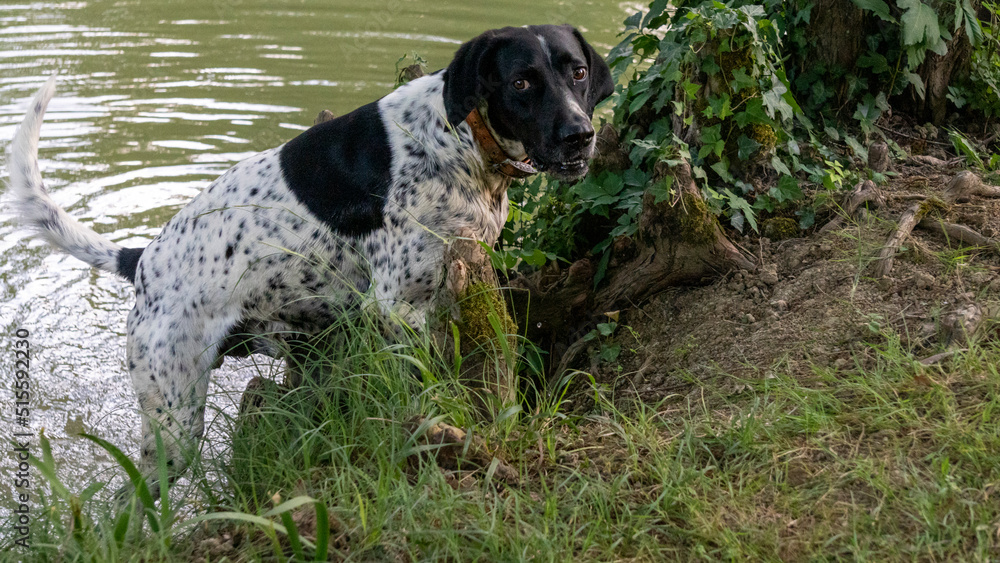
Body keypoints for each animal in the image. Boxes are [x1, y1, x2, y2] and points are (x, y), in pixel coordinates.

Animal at [7, 24, 612, 494]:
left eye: (578, 72)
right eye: (522, 81)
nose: (580, 135)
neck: (460, 136)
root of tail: (142, 261)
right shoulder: (398, 308)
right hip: (172, 425)